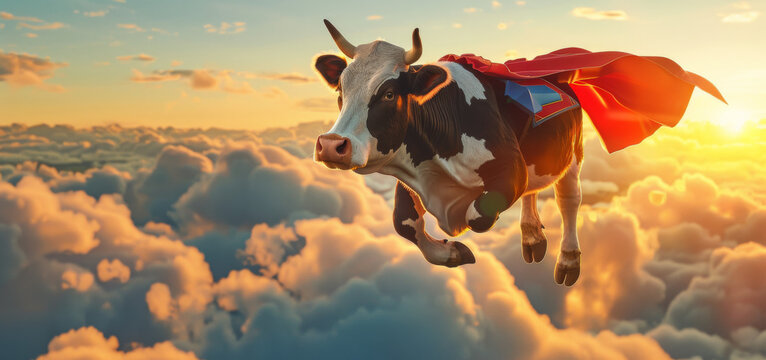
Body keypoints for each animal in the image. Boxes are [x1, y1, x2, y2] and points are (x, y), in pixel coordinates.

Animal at [312, 19, 728, 286]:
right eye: (340, 91)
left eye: (387, 93)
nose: (332, 144)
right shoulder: (411, 168)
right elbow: (404, 222)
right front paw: (453, 252)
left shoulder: (509, 170)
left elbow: (479, 212)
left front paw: (459, 225)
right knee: (534, 191)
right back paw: (531, 237)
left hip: (572, 152)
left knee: (568, 199)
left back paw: (567, 259)